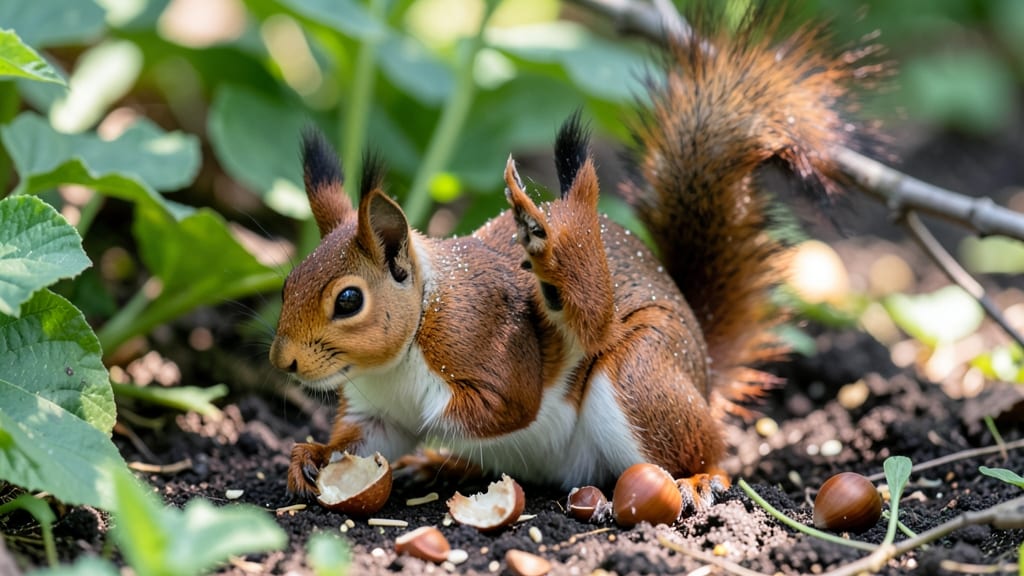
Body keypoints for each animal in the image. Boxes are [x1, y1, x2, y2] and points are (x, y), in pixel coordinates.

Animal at [270, 6, 877, 502]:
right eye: (287, 283)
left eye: (348, 301)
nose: (283, 362)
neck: (400, 354)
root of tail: (704, 372)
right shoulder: (375, 412)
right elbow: (365, 437)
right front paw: (313, 456)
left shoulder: (486, 344)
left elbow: (504, 405)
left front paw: (430, 433)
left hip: (641, 373)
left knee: (705, 444)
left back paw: (700, 478)